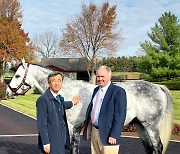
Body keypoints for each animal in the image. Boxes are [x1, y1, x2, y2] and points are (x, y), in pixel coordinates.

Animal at [6, 61, 174, 154]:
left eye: (17, 76)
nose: (7, 92)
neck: (68, 90)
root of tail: (158, 87)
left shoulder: (72, 126)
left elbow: (73, 148)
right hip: (141, 126)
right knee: (150, 148)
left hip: (151, 126)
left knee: (157, 147)